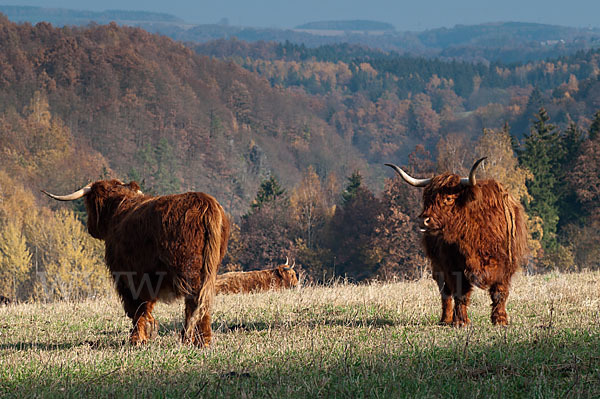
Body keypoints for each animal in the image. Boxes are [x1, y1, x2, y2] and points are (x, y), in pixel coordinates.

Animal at [42, 180, 230, 346]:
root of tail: (206, 203)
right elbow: (145, 306)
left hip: (189, 270)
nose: (90, 228)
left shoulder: (127, 276)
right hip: (209, 270)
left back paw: (191, 339)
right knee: (204, 303)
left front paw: (136, 339)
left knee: (194, 302)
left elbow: (136, 307)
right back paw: (203, 341)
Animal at [386, 158, 528, 326]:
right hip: (438, 265)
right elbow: (460, 294)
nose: (423, 220)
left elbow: (499, 292)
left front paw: (500, 320)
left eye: (448, 198)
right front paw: (460, 321)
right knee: (445, 292)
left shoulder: (505, 265)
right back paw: (445, 319)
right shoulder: (454, 266)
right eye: (427, 199)